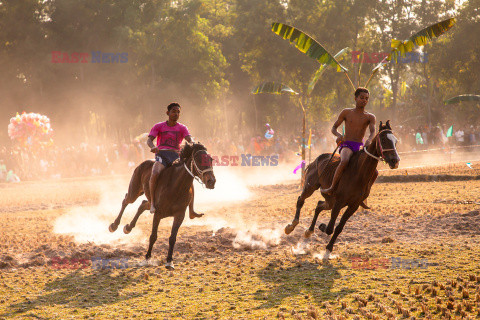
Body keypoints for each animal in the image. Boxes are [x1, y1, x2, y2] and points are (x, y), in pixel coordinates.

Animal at [284, 120, 400, 260]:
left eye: (395, 141)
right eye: (383, 139)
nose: (395, 161)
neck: (359, 173)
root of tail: (318, 158)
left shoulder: (353, 206)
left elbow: (338, 227)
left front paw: (328, 249)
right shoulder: (339, 202)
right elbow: (330, 228)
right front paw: (322, 227)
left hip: (330, 200)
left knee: (319, 206)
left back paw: (309, 231)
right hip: (310, 187)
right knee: (301, 200)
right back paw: (291, 226)